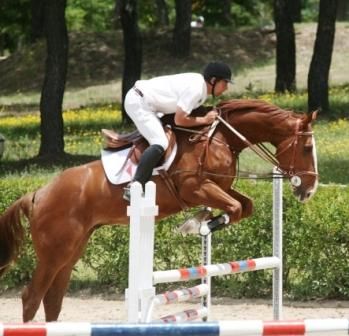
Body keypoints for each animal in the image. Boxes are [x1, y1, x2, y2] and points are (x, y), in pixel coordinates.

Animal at [0, 98, 318, 322]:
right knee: (31, 297)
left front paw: (202, 221)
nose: (309, 189)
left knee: (52, 300)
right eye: (306, 148)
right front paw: (198, 224)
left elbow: (244, 205)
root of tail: (38, 193)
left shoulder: (219, 187)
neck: (220, 138)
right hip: (55, 252)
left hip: (71, 250)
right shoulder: (195, 188)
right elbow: (236, 207)